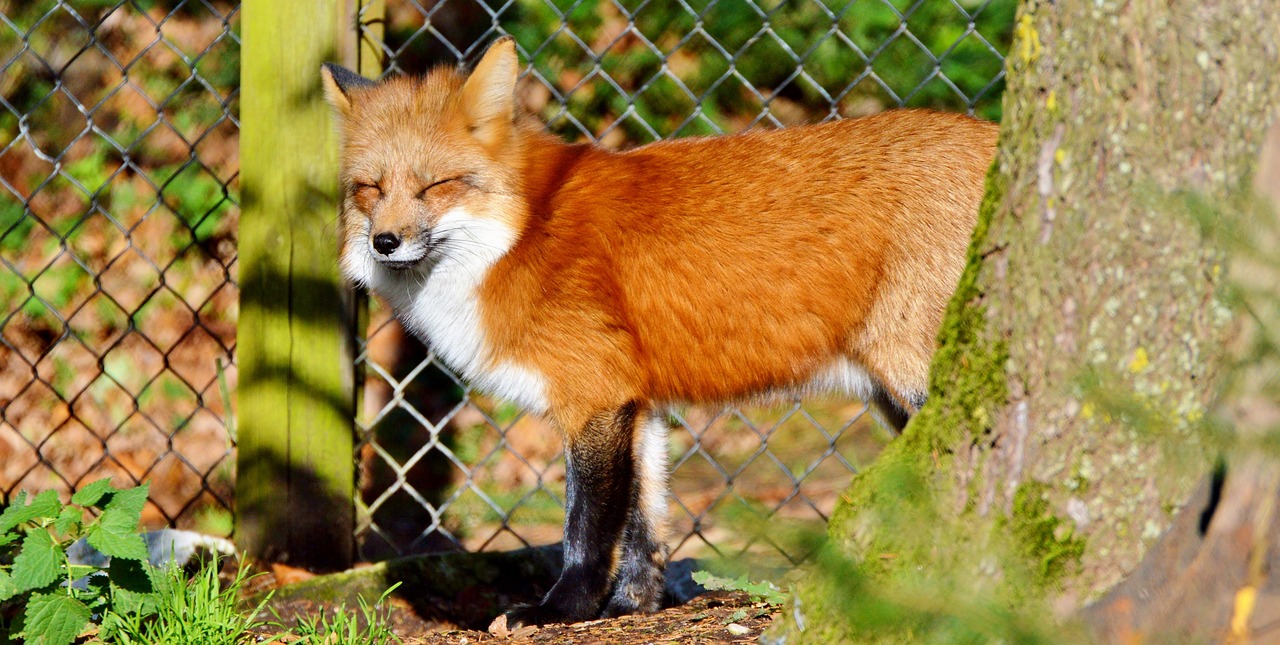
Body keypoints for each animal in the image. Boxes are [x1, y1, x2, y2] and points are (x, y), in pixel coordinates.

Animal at [320, 36, 998, 629]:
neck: (523, 233)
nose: (385, 242)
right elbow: (645, 524)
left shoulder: (593, 397)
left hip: (916, 377)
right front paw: (632, 608)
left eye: (435, 185)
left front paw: (561, 610)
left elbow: (587, 527)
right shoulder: (637, 404)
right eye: (370, 188)